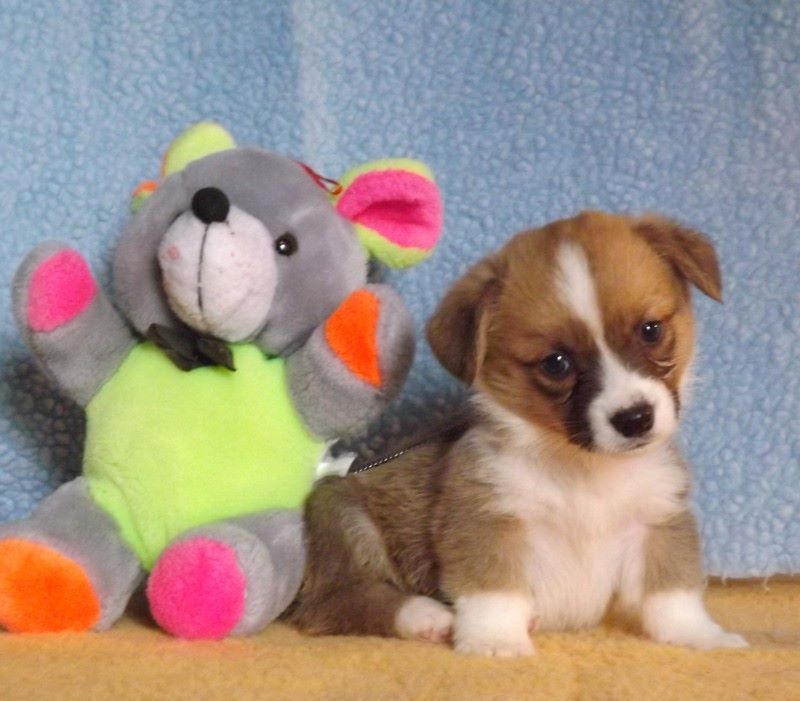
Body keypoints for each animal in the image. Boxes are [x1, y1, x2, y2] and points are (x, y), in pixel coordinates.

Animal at [289, 211, 747, 656]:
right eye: (556, 363)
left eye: (651, 330)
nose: (634, 418)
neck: (584, 469)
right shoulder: (489, 518)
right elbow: (495, 592)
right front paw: (496, 641)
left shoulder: (657, 518)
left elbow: (673, 594)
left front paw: (702, 636)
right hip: (345, 519)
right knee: (338, 602)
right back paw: (426, 616)